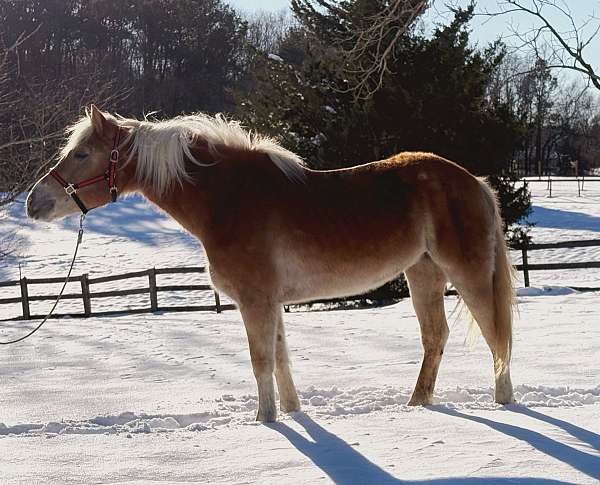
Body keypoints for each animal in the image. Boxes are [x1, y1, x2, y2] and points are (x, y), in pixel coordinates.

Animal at [27, 105, 516, 420]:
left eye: (82, 154)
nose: (35, 203)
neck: (227, 199)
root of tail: (474, 182)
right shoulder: (272, 302)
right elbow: (281, 360)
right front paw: (293, 413)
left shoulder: (255, 300)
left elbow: (261, 360)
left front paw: (265, 421)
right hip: (423, 272)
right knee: (436, 336)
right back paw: (417, 405)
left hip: (466, 272)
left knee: (496, 335)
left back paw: (504, 402)